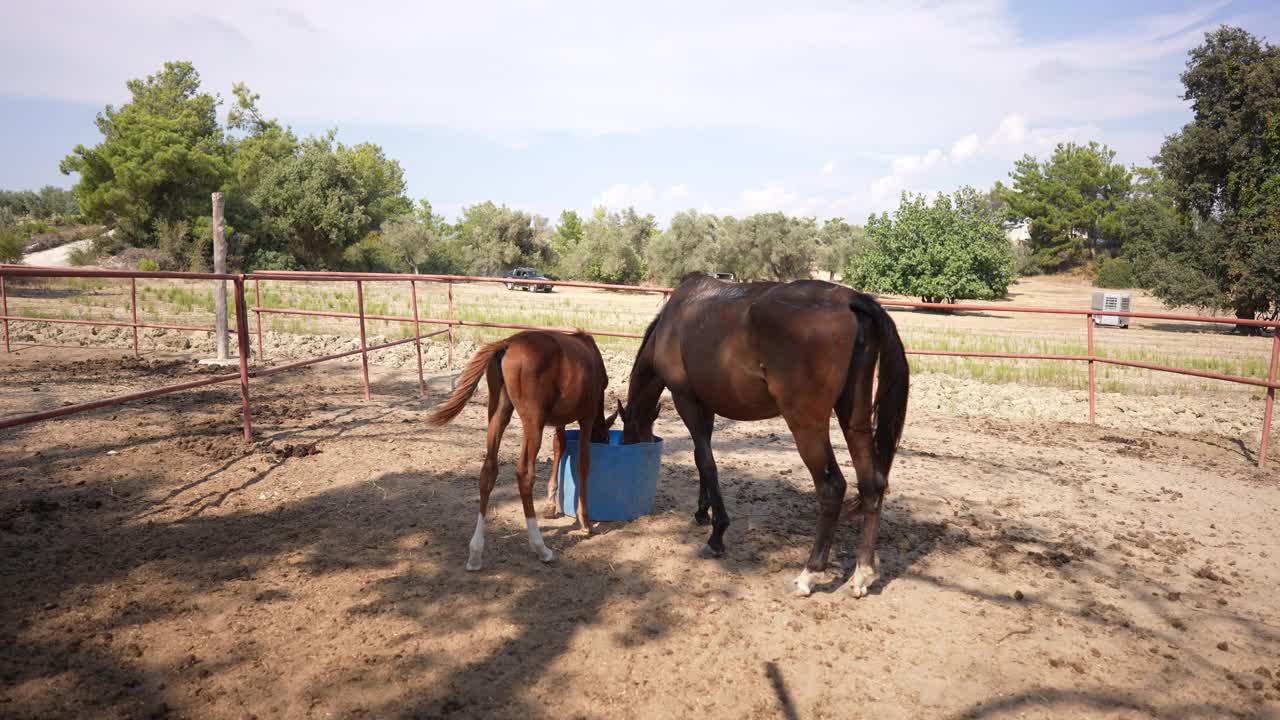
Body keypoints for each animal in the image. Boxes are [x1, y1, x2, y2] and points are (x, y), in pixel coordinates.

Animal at [427, 327, 616, 568]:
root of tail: (507, 343)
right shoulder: (586, 418)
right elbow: (583, 465)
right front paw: (585, 521)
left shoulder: (557, 421)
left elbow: (560, 446)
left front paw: (552, 506)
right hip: (534, 422)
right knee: (525, 475)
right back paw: (541, 548)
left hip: (501, 414)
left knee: (488, 471)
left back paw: (476, 552)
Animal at [622, 271, 911, 591]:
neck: (674, 320)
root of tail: (850, 299)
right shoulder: (704, 405)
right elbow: (700, 458)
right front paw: (701, 511)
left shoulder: (685, 399)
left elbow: (707, 463)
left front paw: (717, 534)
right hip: (854, 419)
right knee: (872, 484)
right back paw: (863, 573)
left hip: (805, 425)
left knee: (832, 488)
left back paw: (810, 573)